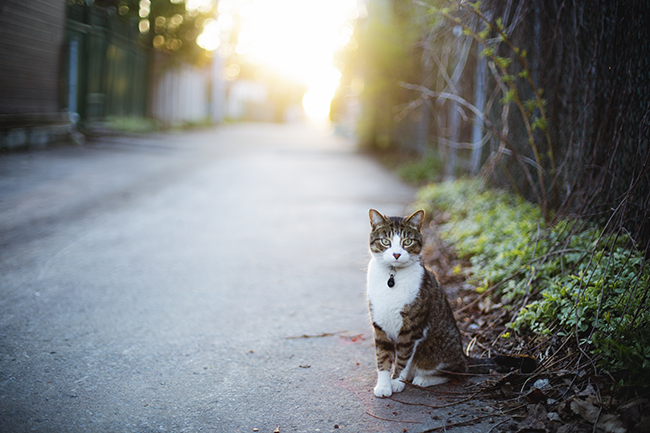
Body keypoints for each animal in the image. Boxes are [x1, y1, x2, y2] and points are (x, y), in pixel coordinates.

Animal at [364, 208, 466, 396]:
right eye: (385, 241)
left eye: (407, 241)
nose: (396, 254)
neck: (392, 276)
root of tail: (464, 354)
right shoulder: (379, 324)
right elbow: (382, 356)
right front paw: (384, 386)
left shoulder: (411, 328)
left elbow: (403, 357)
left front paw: (396, 381)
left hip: (438, 352)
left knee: (455, 372)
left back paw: (423, 379)